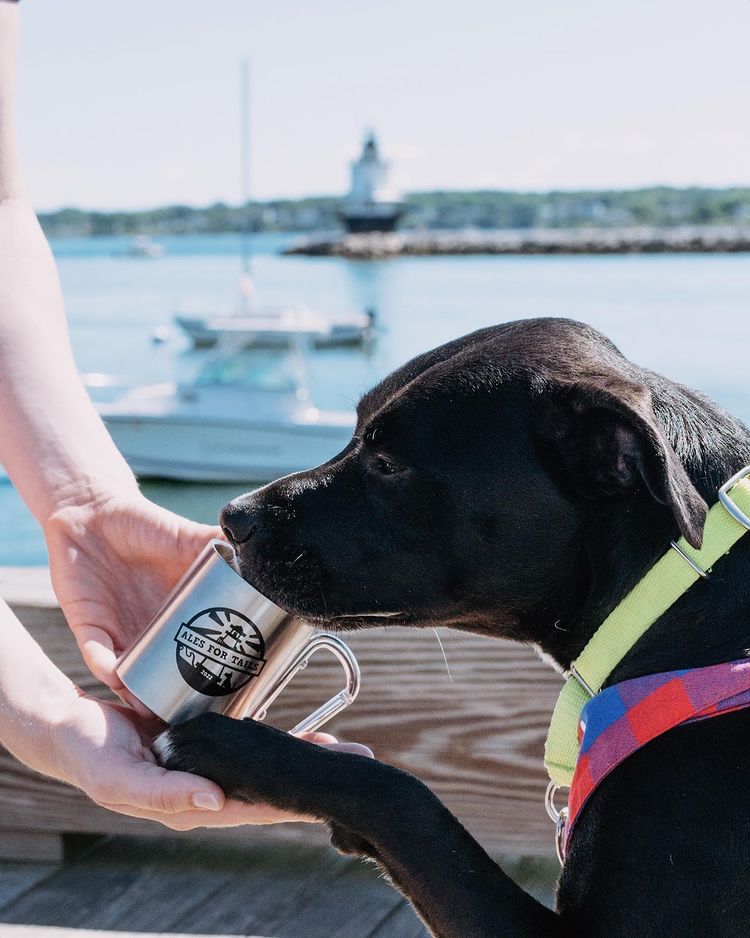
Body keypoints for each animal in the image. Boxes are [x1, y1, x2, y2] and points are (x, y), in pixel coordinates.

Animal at [156, 318, 750, 932]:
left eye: (388, 464)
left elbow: (400, 793)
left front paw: (232, 748)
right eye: (356, 433)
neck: (678, 607)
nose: (233, 516)